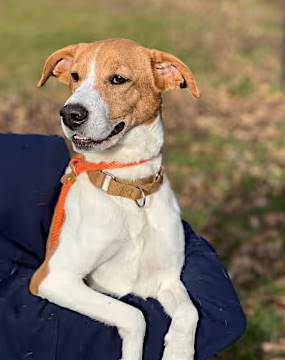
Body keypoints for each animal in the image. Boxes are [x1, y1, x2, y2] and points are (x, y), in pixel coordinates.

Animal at [30, 38, 200, 360]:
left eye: (118, 79)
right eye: (75, 76)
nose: (70, 114)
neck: (130, 188)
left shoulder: (167, 278)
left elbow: (189, 313)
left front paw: (178, 352)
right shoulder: (53, 277)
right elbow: (133, 314)